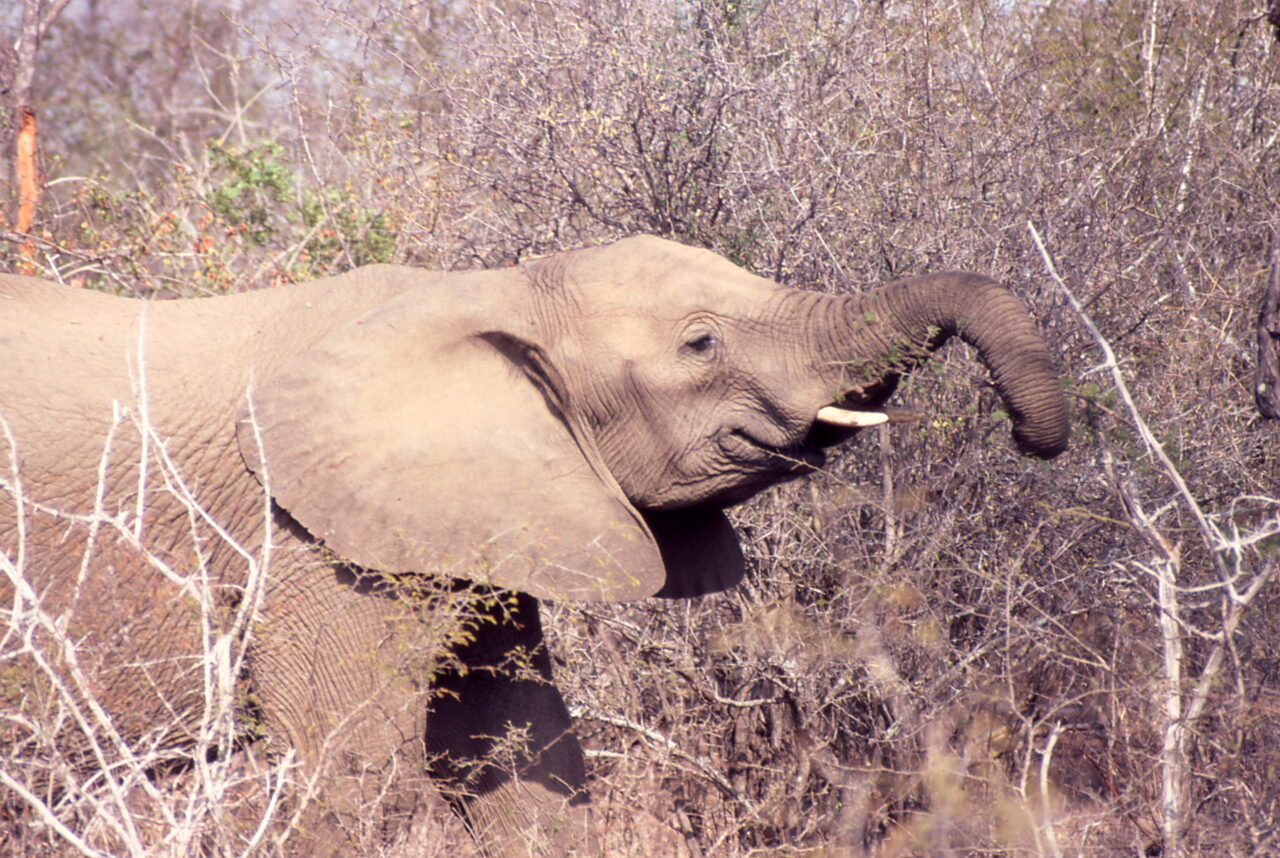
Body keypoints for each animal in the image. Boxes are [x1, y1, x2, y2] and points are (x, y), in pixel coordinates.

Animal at [0, 235, 1068, 855]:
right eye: (701, 344)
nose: (1033, 436)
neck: (496, 291)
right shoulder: (312, 538)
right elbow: (350, 773)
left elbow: (523, 763)